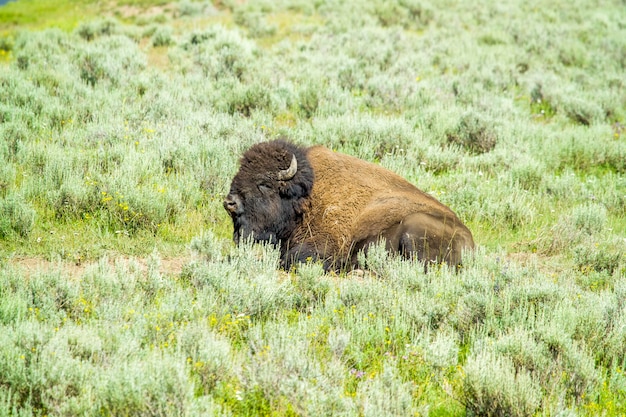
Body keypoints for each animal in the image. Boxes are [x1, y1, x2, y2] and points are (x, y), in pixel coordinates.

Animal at [224, 138, 472, 272]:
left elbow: (290, 259)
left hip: (413, 229)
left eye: (264, 183)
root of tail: (471, 244)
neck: (306, 199)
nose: (230, 202)